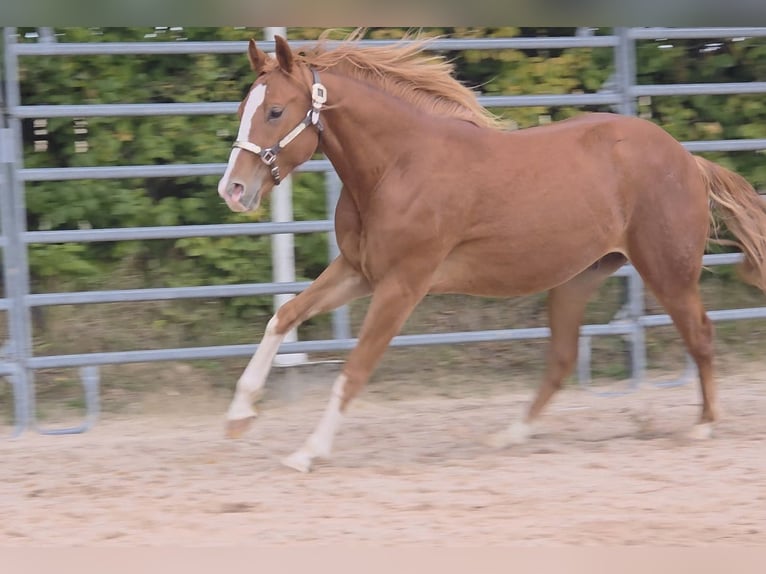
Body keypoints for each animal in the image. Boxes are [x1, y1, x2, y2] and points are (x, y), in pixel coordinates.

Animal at [217, 33, 766, 472]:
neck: (398, 165)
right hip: (578, 277)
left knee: (700, 334)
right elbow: (284, 316)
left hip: (666, 271)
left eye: (275, 111)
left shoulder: (402, 285)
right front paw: (239, 417)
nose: (233, 190)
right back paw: (509, 435)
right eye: (244, 109)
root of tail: (689, 161)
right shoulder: (359, 271)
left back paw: (704, 425)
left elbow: (354, 370)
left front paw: (307, 452)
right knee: (562, 358)